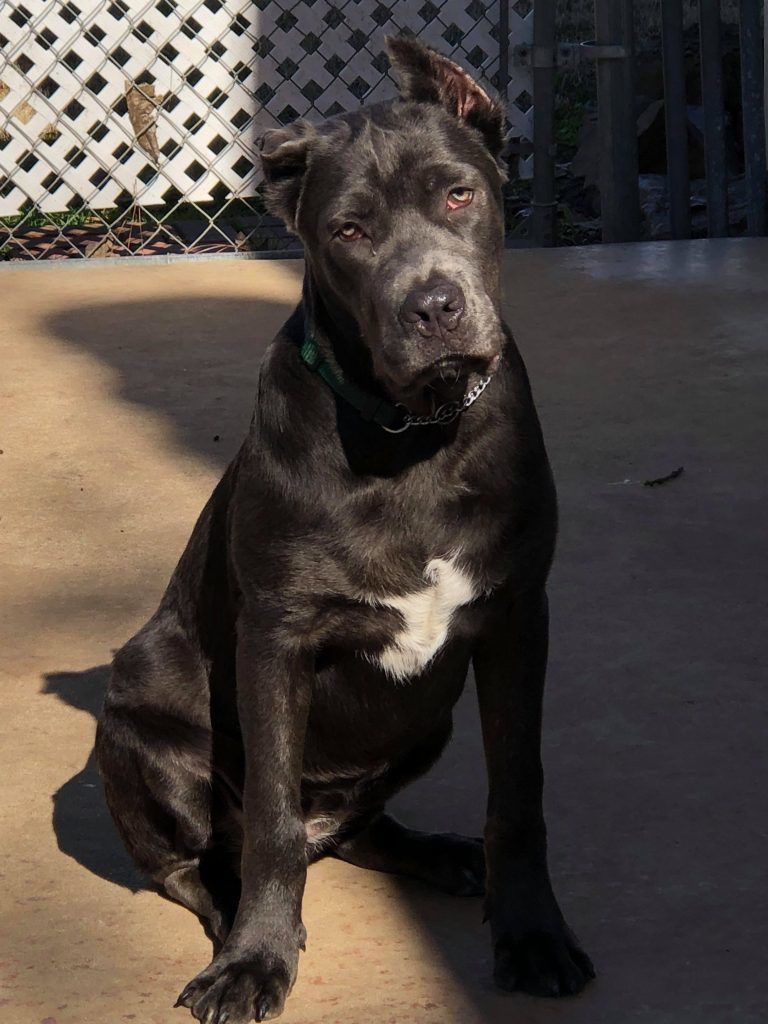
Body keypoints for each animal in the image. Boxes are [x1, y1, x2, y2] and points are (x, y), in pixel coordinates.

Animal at [96, 36, 598, 1024]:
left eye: (458, 193)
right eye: (349, 232)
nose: (433, 307)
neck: (415, 433)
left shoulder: (519, 616)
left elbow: (518, 791)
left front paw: (531, 932)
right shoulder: (275, 641)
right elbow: (271, 826)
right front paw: (256, 958)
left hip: (425, 722)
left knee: (357, 830)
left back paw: (441, 854)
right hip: (138, 715)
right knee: (204, 860)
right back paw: (239, 922)